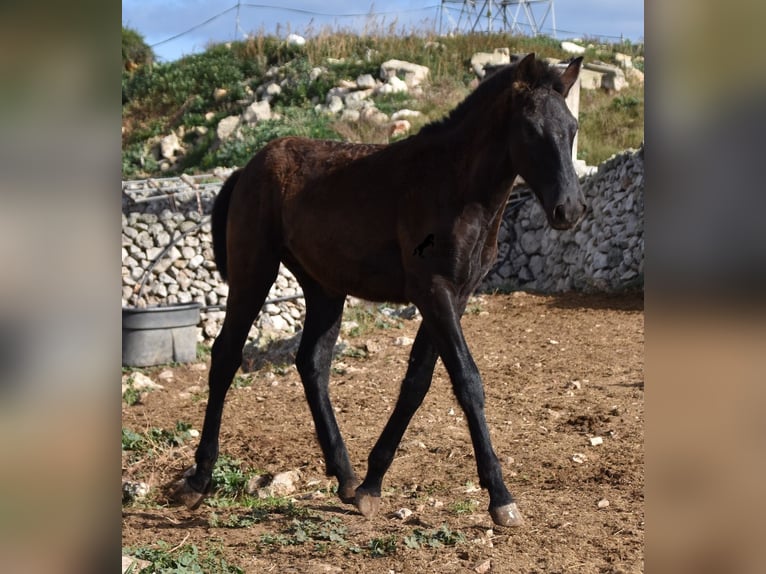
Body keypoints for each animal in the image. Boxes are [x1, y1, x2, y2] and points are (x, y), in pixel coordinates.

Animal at [177, 55, 584, 532]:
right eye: (531, 129)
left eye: (572, 128)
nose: (569, 209)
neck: (453, 182)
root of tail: (246, 170)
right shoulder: (433, 291)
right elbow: (467, 382)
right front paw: (500, 496)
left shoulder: (455, 296)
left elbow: (417, 382)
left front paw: (372, 484)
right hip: (253, 272)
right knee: (226, 356)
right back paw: (198, 479)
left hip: (324, 288)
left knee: (311, 363)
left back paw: (346, 476)